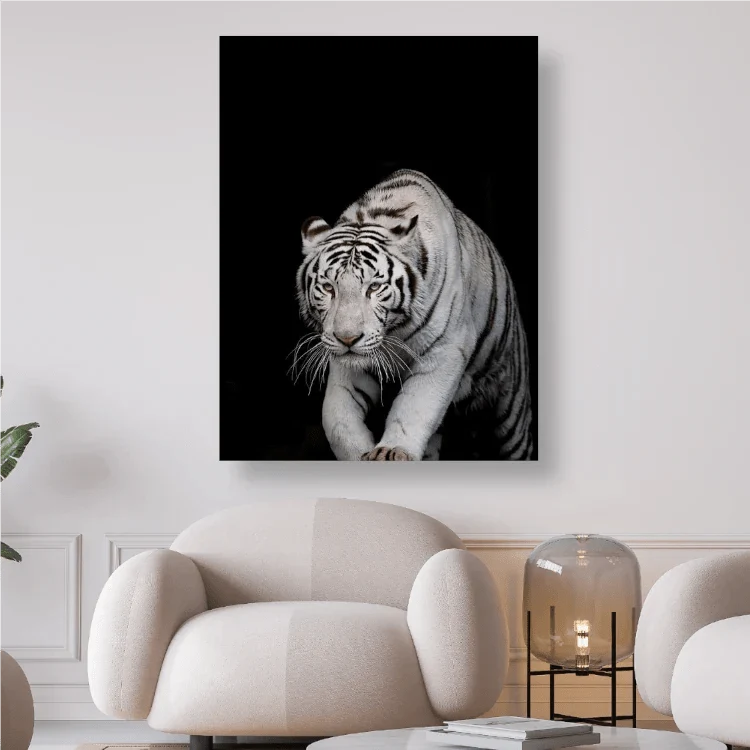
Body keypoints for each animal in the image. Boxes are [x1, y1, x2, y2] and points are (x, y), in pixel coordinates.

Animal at [293, 168, 533, 461]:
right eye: (328, 287)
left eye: (374, 287)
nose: (347, 339)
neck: (395, 329)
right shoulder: (347, 365)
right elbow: (337, 418)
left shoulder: (445, 350)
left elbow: (414, 407)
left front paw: (391, 451)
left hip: (511, 411)